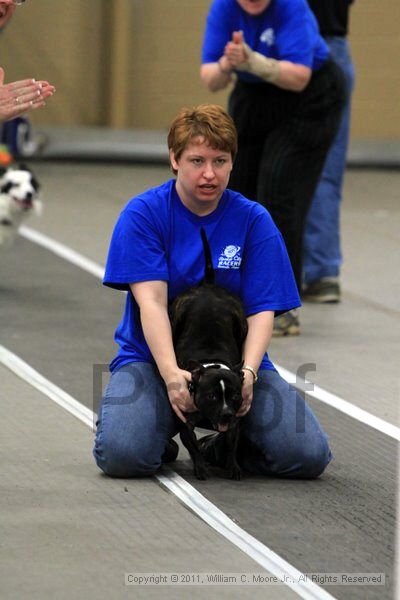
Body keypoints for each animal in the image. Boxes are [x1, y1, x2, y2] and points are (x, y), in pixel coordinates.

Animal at [168, 227, 247, 480]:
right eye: (212, 396)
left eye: (234, 396)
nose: (225, 413)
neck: (212, 363)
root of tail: (208, 284)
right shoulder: (185, 422)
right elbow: (192, 445)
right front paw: (201, 468)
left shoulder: (236, 422)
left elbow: (232, 443)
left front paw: (233, 466)